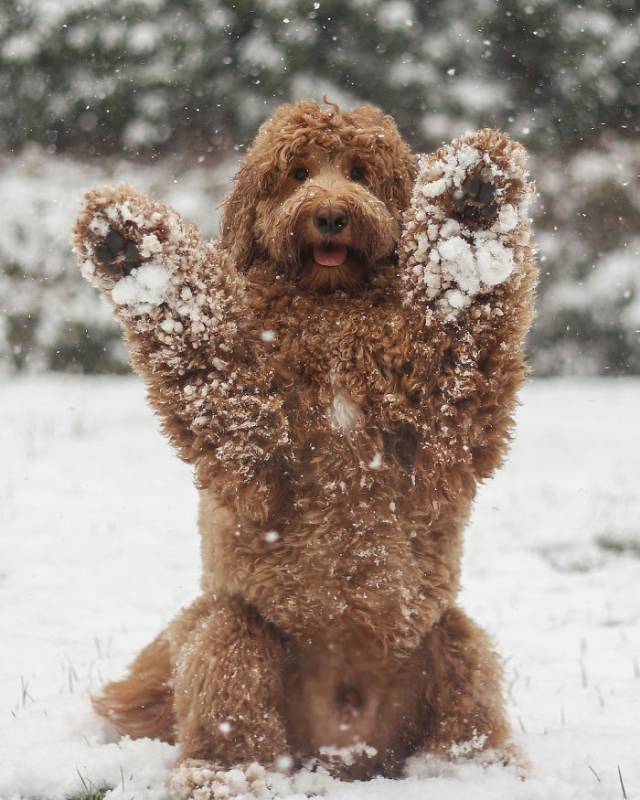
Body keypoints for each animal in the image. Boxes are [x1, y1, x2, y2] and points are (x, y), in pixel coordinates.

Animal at [72, 98, 536, 792]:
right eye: (296, 173)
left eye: (361, 172)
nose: (331, 214)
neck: (333, 311)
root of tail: (343, 756)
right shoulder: (250, 433)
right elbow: (206, 339)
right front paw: (127, 244)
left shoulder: (442, 416)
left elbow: (463, 311)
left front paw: (473, 196)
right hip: (234, 634)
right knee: (229, 699)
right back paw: (223, 777)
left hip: (449, 637)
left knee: (465, 692)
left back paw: (476, 771)